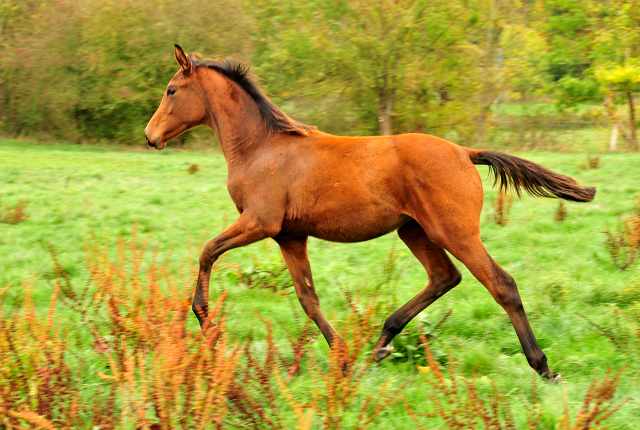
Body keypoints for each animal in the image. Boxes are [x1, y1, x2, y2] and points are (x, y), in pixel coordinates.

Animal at [145, 44, 596, 380]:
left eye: (170, 90)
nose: (150, 137)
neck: (262, 148)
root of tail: (465, 152)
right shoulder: (289, 235)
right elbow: (308, 297)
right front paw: (342, 359)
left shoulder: (259, 222)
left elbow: (207, 251)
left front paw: (204, 318)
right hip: (413, 231)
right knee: (444, 277)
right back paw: (381, 343)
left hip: (455, 232)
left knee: (501, 284)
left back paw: (543, 367)